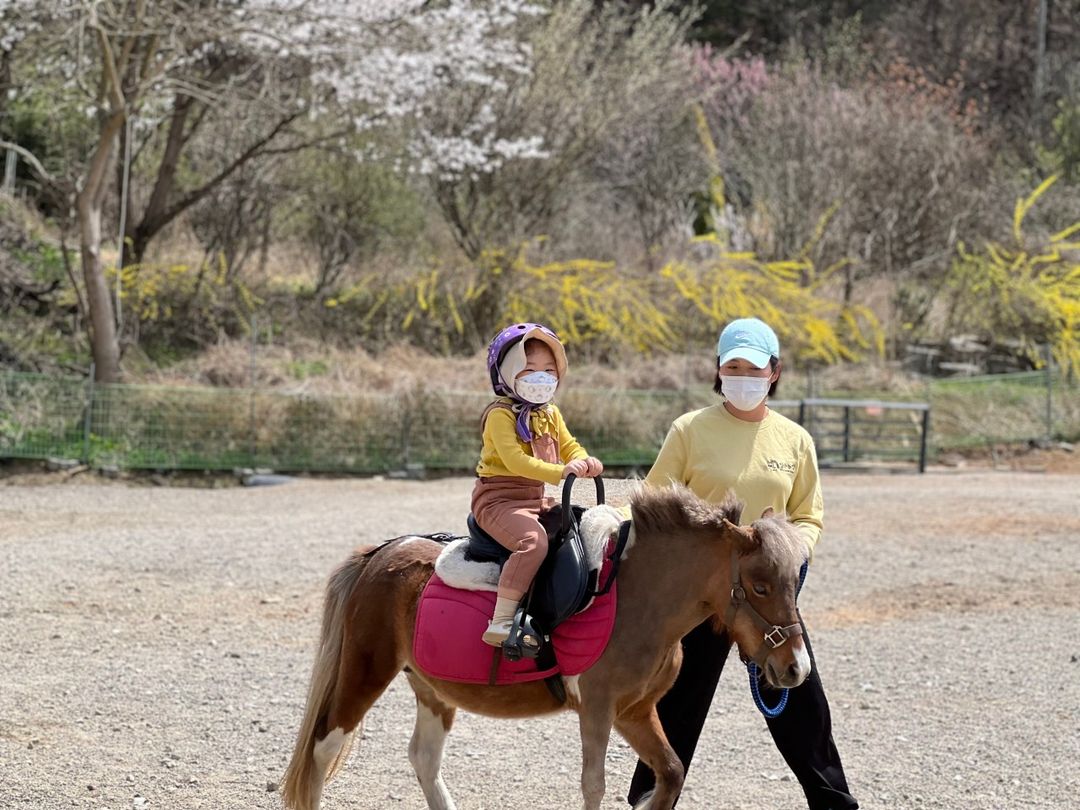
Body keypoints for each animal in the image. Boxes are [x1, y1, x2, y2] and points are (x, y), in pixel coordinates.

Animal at [280, 486, 812, 807]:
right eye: (760, 586)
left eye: (796, 583)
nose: (796, 668)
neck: (638, 595)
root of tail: (382, 552)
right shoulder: (598, 710)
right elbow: (594, 785)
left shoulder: (634, 713)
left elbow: (671, 773)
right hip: (366, 670)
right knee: (324, 747)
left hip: (432, 689)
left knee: (423, 759)